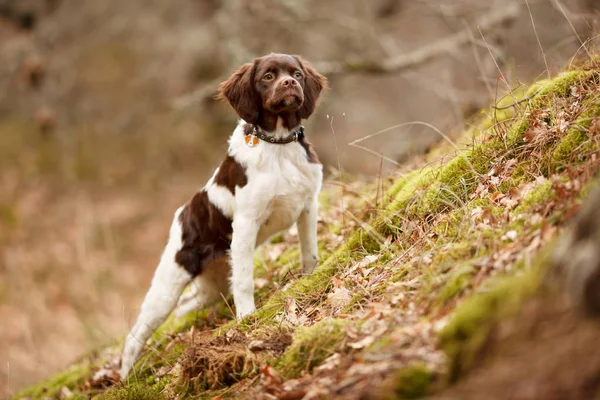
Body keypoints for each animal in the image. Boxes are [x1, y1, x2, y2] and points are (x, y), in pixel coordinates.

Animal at [119, 54, 326, 382]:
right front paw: (247, 319)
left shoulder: (308, 206)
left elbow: (310, 254)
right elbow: (244, 281)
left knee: (187, 305)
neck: (278, 145)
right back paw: (125, 377)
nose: (289, 84)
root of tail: (181, 216)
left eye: (296, 74)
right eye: (268, 76)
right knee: (136, 333)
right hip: (167, 286)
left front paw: (309, 279)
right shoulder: (245, 225)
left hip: (212, 286)